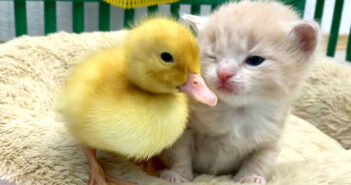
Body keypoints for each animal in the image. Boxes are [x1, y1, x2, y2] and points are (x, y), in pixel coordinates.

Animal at [161, 0, 320, 184]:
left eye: (255, 60)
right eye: (212, 56)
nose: (223, 73)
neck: (238, 111)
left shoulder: (271, 139)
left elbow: (260, 160)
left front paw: (251, 177)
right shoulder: (185, 128)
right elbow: (180, 152)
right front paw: (178, 175)